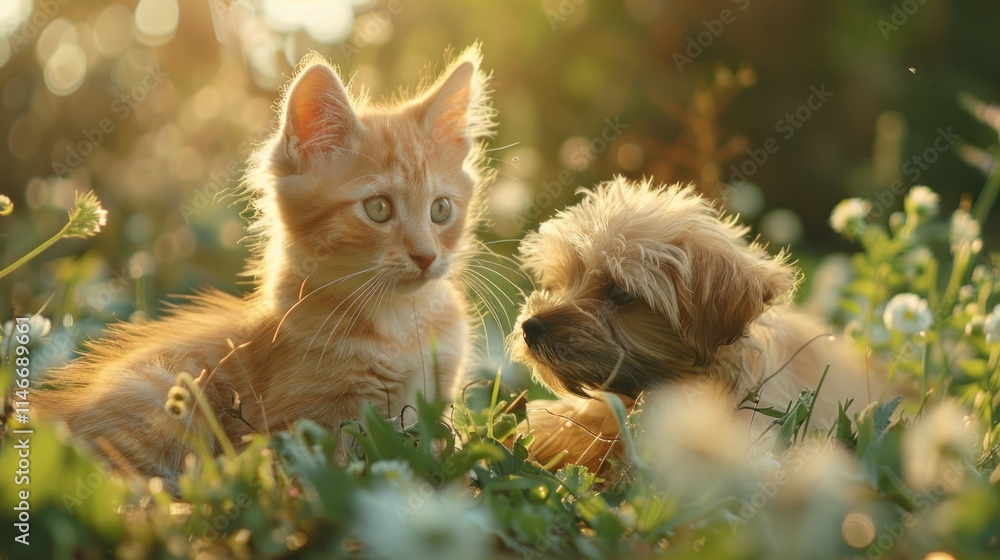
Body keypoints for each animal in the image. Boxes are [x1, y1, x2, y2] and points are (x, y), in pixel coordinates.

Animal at [35, 46, 496, 480]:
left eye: (441, 210)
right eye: (378, 209)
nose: (426, 256)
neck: (400, 325)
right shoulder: (299, 425)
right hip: (163, 392)